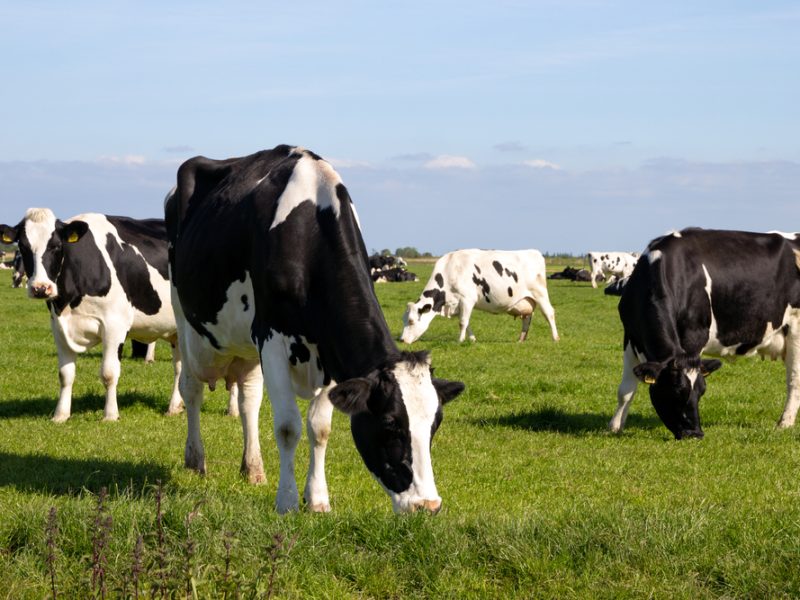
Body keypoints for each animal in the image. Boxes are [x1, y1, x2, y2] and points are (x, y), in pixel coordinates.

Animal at [0, 208, 184, 422]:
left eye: (56, 246)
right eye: (23, 246)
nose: (40, 288)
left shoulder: (115, 325)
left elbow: (109, 373)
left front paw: (110, 415)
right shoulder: (58, 327)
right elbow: (65, 374)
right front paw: (60, 415)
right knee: (180, 366)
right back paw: (174, 407)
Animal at [165, 145, 464, 514]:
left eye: (435, 424)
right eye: (389, 424)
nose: (428, 505)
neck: (308, 231)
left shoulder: (330, 349)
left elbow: (319, 428)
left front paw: (318, 499)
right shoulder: (271, 338)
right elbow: (287, 426)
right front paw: (287, 501)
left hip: (245, 344)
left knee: (249, 400)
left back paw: (253, 468)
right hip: (186, 320)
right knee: (191, 387)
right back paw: (196, 459)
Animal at [400, 249, 560, 344]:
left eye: (411, 321)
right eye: (404, 320)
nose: (402, 340)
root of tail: (533, 252)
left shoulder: (467, 299)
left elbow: (462, 322)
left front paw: (460, 340)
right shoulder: (458, 304)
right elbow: (466, 323)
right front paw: (472, 339)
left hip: (540, 293)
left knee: (549, 313)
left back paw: (555, 338)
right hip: (527, 300)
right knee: (527, 318)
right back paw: (520, 340)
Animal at [609, 228, 800, 440]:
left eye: (702, 392)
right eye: (676, 391)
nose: (695, 433)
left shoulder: (695, 336)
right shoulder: (630, 336)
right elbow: (626, 390)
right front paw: (615, 426)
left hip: (796, 328)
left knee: (794, 380)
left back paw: (784, 423)